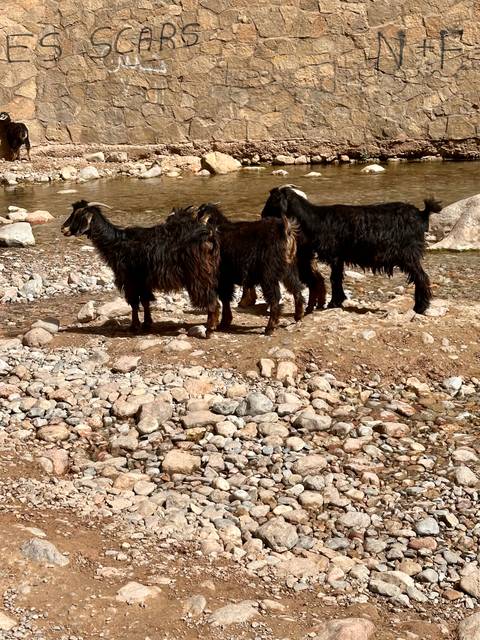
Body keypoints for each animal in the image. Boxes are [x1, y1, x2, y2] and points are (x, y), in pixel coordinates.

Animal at [62, 201, 220, 335]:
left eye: (78, 215)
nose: (63, 229)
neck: (116, 243)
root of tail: (208, 236)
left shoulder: (130, 280)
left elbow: (134, 303)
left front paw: (134, 326)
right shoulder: (143, 282)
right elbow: (145, 301)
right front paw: (147, 324)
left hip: (198, 275)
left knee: (211, 299)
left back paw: (210, 328)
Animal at [195, 203, 303, 335]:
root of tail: (285, 230)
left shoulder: (222, 278)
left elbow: (225, 298)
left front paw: (223, 322)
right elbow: (226, 299)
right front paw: (225, 321)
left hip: (269, 276)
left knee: (275, 298)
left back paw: (270, 328)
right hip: (289, 270)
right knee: (296, 289)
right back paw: (298, 316)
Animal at [262, 185, 442, 314]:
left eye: (271, 201)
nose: (262, 215)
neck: (316, 219)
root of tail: (422, 214)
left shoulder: (335, 256)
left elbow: (334, 279)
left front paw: (333, 302)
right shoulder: (339, 258)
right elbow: (337, 278)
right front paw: (338, 300)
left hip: (408, 255)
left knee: (421, 277)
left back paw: (420, 307)